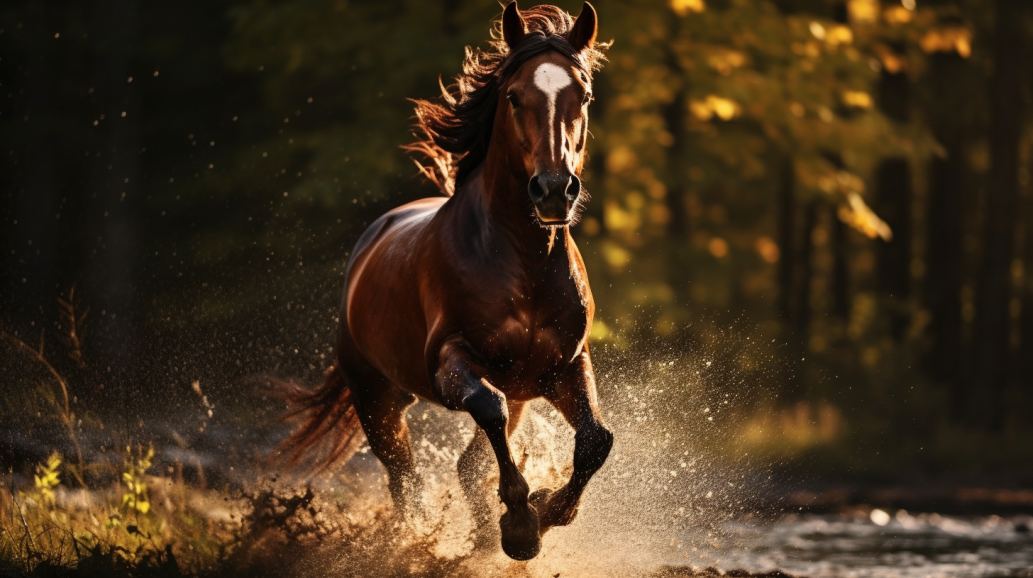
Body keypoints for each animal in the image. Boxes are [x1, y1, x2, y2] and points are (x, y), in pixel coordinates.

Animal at [279, 1, 612, 561]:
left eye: (583, 95)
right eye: (514, 96)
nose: (553, 191)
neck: (523, 262)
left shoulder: (563, 366)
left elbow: (595, 441)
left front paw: (547, 512)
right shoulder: (451, 362)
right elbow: (488, 409)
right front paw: (520, 524)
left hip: (518, 389)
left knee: (467, 463)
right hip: (376, 400)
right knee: (405, 480)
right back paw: (414, 543)